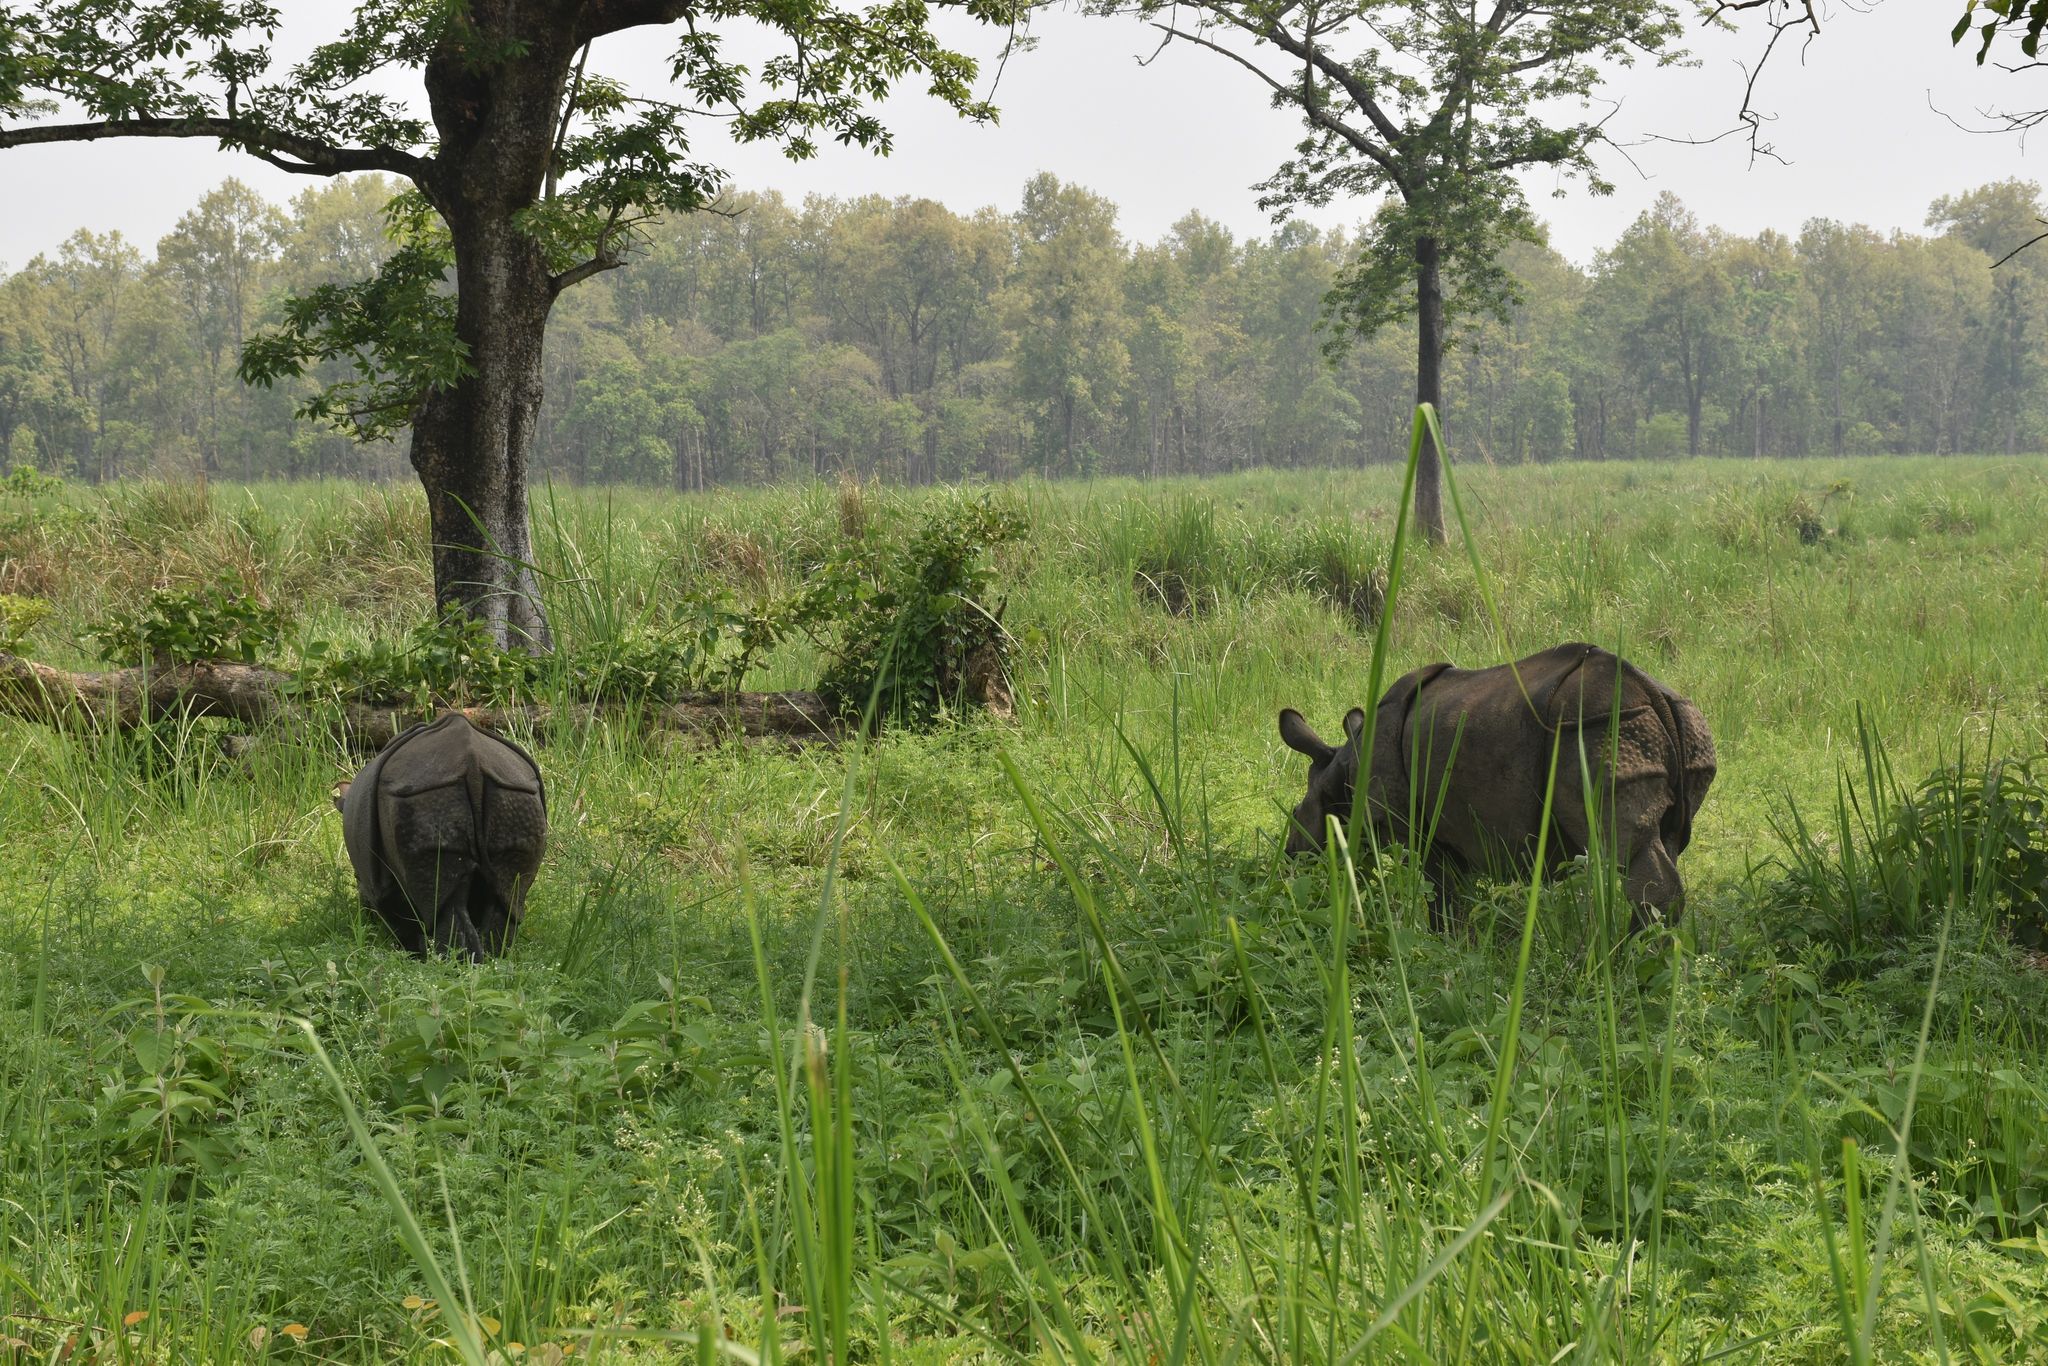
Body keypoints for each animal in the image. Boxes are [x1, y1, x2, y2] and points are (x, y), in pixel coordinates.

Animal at [342, 716, 552, 962]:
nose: (365, 914)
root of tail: (472, 764)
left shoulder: (379, 887)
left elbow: (399, 918)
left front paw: (410, 953)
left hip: (422, 797)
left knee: (444, 903)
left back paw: (450, 964)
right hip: (516, 795)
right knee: (507, 896)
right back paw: (492, 961)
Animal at [1277, 643, 1712, 929]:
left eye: (1297, 815)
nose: (1291, 857)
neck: (1343, 767)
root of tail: (1650, 692)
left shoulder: (1416, 826)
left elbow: (1441, 890)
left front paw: (1443, 940)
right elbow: (1459, 890)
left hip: (1597, 728)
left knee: (1624, 846)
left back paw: (1629, 958)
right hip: (1678, 726)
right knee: (1666, 839)